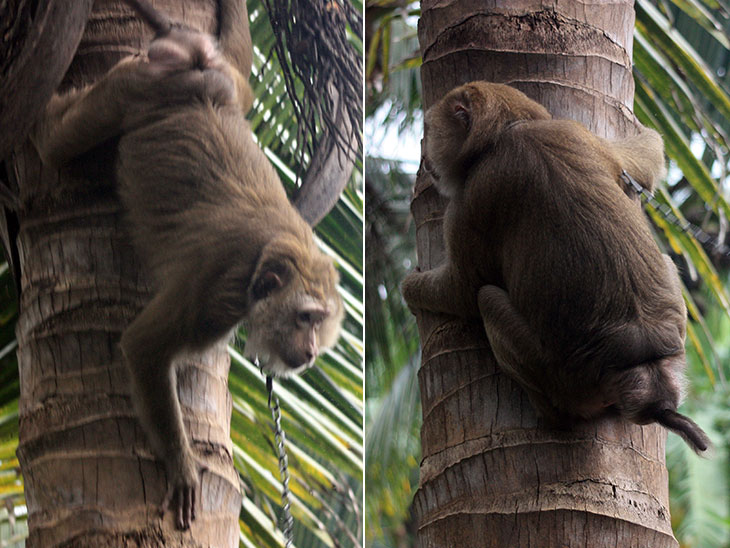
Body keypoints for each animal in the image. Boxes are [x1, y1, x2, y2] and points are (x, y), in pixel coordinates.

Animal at [32, 0, 344, 532]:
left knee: (238, 76)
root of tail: (197, 69)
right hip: (138, 83)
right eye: (305, 317)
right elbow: (143, 347)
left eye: (319, 325)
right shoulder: (216, 289)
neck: (264, 262)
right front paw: (182, 466)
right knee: (55, 144)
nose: (308, 354)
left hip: (216, 83)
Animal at [398, 78, 712, 454]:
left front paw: (409, 289)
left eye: (430, 131)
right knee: (665, 261)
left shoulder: (471, 197)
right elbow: (645, 160)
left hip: (559, 375)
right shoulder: (574, 131)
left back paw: (553, 415)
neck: (508, 130)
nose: (427, 160)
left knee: (486, 298)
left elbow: (462, 289)